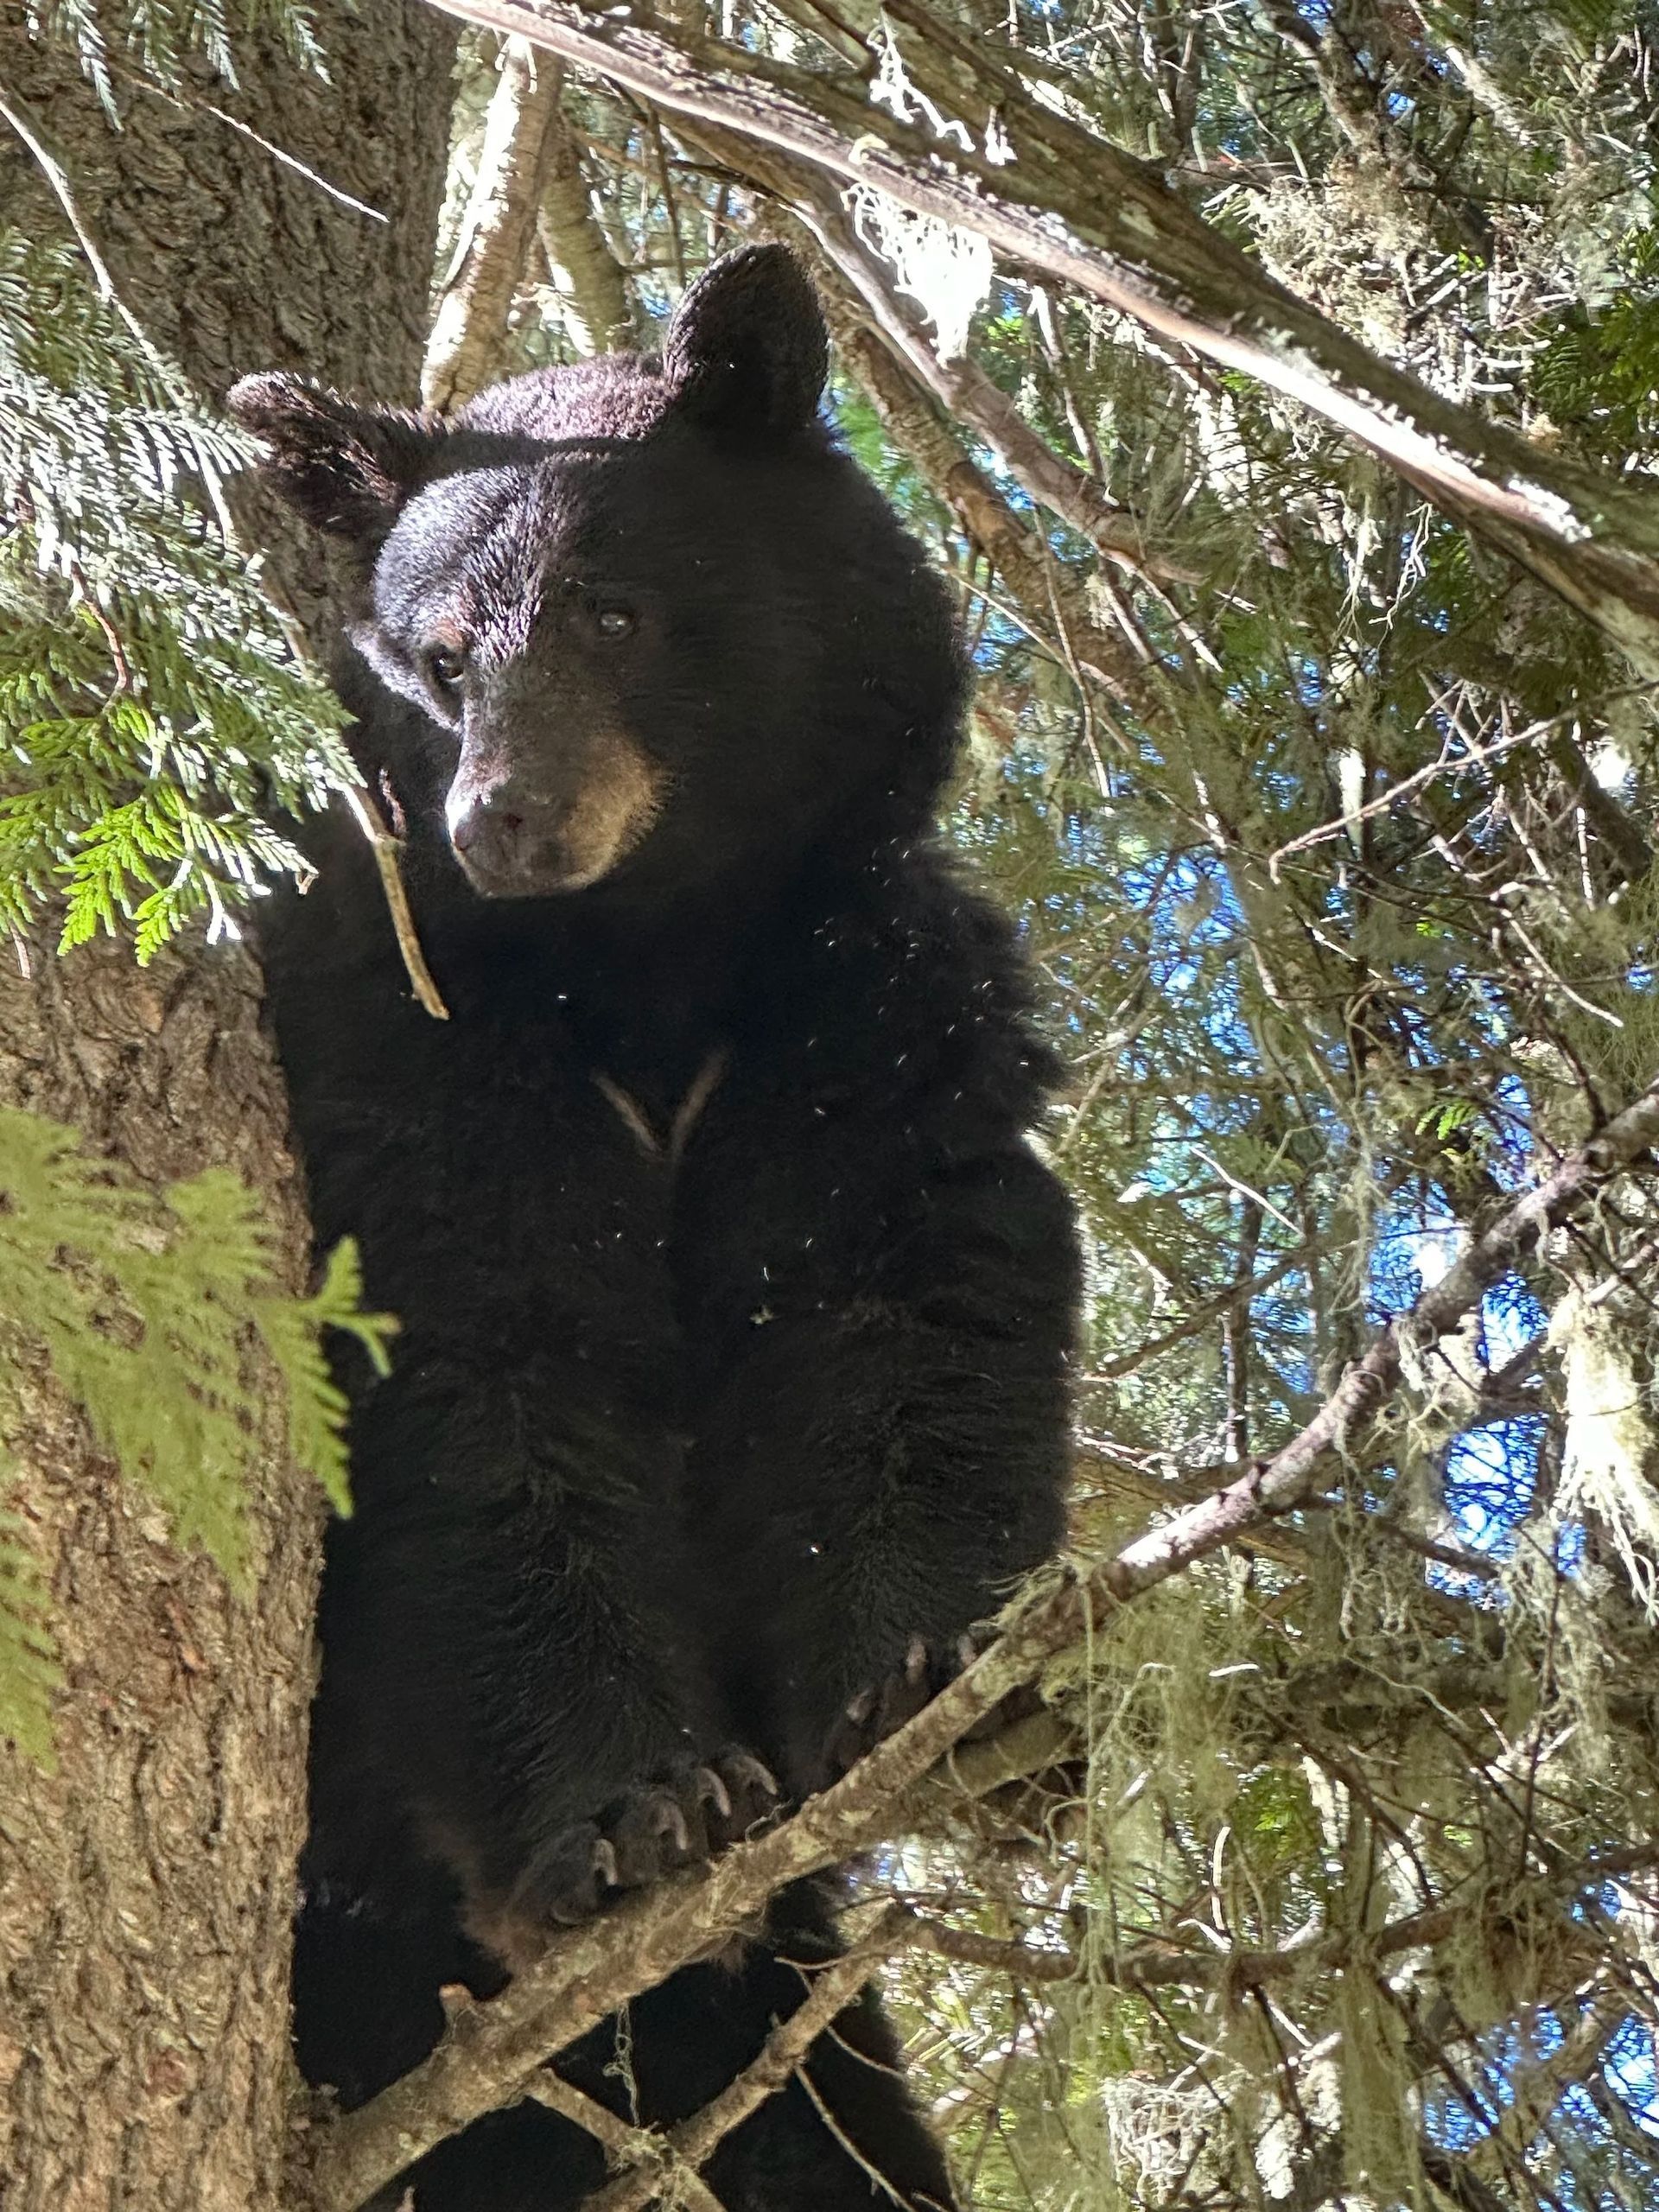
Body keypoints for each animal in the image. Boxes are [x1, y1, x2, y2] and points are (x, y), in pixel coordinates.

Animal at [230, 243, 1081, 2212]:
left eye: (613, 611)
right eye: (438, 656)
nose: (504, 819)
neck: (646, 976)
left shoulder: (857, 1011)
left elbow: (896, 1312)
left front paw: (938, 1682)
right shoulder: (419, 1051)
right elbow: (489, 1386)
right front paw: (635, 1815)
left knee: (823, 2133)